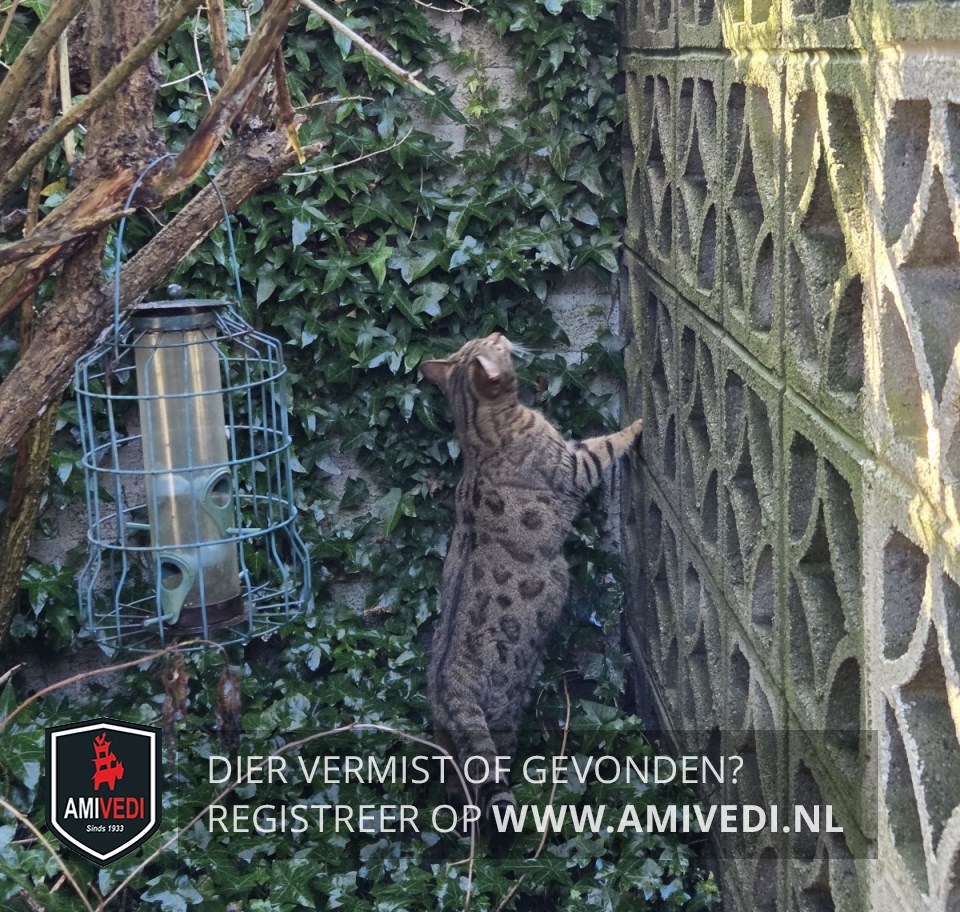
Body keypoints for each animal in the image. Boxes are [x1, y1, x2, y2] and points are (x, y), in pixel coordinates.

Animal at [420, 331, 643, 821]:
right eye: (491, 343)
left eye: (479, 337)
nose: (500, 332)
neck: (479, 433)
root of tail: (447, 689)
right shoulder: (574, 467)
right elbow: (605, 444)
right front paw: (639, 424)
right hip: (502, 714)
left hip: (448, 740)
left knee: (457, 784)